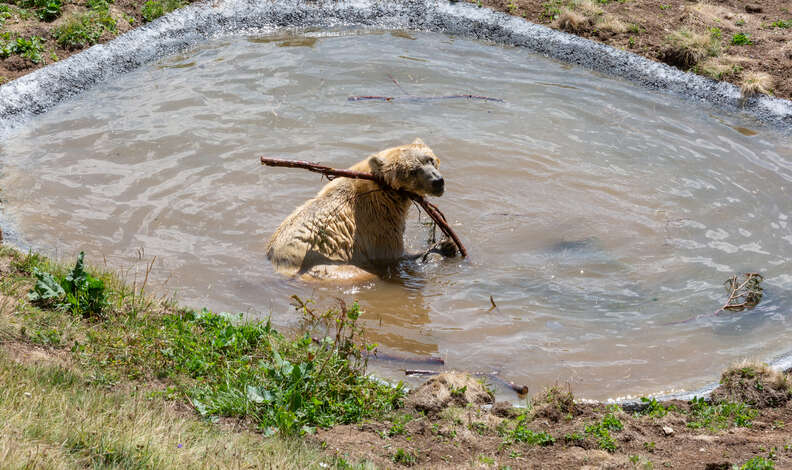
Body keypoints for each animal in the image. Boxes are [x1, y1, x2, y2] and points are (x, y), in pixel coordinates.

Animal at [266, 138, 452, 280]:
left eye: (430, 159)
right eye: (412, 171)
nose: (437, 181)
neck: (384, 192)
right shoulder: (376, 222)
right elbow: (393, 253)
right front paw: (442, 246)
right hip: (328, 267)